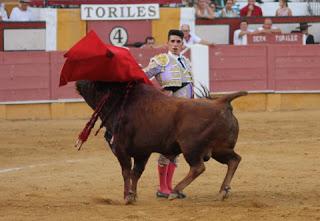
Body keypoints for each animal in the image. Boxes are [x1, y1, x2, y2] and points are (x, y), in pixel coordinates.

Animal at [76, 80, 246, 205]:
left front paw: (127, 197)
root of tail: (221, 102)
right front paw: (133, 195)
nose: (78, 83)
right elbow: (136, 173)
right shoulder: (142, 152)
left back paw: (175, 191)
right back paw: (223, 191)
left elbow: (126, 171)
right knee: (234, 160)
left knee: (198, 167)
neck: (121, 101)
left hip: (191, 148)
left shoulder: (121, 149)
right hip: (219, 149)